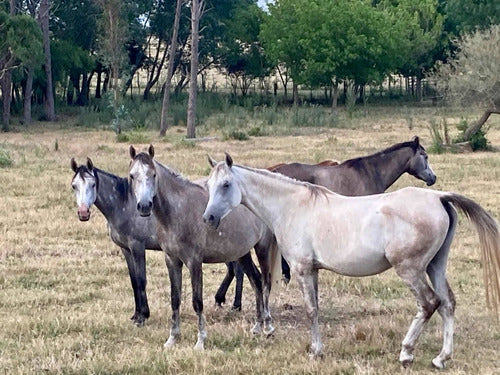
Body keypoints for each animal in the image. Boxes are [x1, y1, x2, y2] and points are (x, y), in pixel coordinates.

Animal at [129, 145, 276, 352]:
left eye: (153, 174)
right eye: (132, 175)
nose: (144, 206)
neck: (177, 212)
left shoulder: (194, 261)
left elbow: (197, 302)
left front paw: (200, 341)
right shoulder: (172, 260)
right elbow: (175, 299)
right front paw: (172, 338)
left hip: (262, 248)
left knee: (265, 282)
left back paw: (268, 327)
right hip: (243, 252)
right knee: (255, 280)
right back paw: (257, 326)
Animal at [203, 153, 500, 370]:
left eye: (226, 185)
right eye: (209, 185)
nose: (208, 218)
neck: (292, 206)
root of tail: (439, 197)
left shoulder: (302, 269)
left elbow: (310, 310)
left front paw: (315, 351)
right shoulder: (313, 270)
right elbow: (316, 308)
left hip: (411, 270)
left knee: (429, 303)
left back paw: (406, 353)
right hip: (435, 266)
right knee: (448, 304)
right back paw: (441, 358)